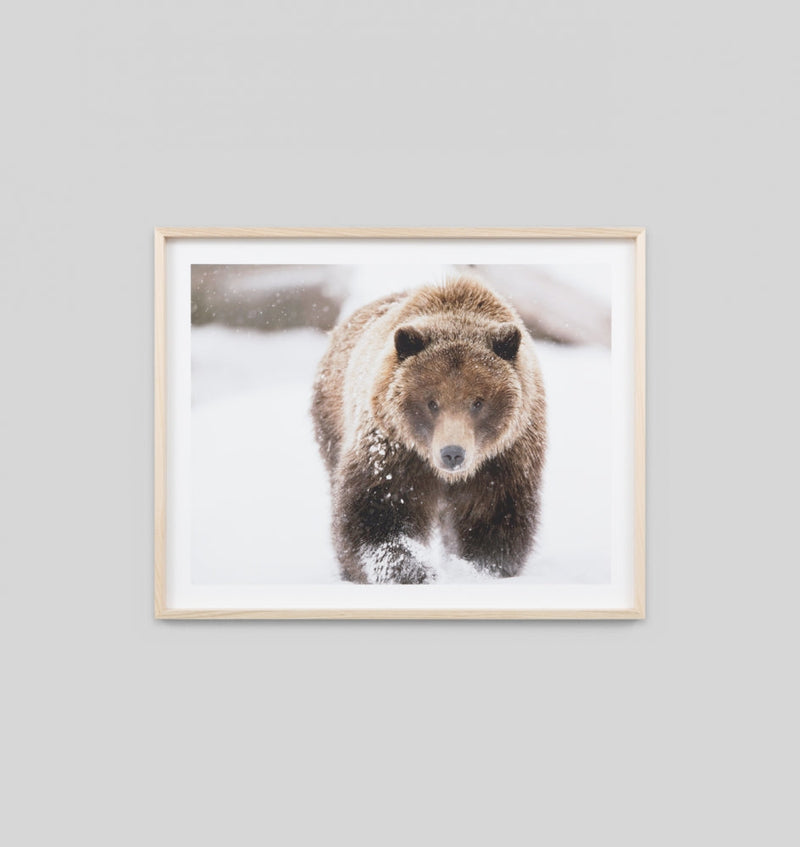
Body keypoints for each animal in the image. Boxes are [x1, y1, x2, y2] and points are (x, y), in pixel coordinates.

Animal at [311, 275, 547, 584]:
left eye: (478, 402)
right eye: (432, 402)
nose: (452, 453)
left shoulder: (504, 459)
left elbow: (494, 517)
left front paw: (476, 569)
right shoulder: (394, 450)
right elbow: (377, 513)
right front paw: (412, 571)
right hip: (332, 419)